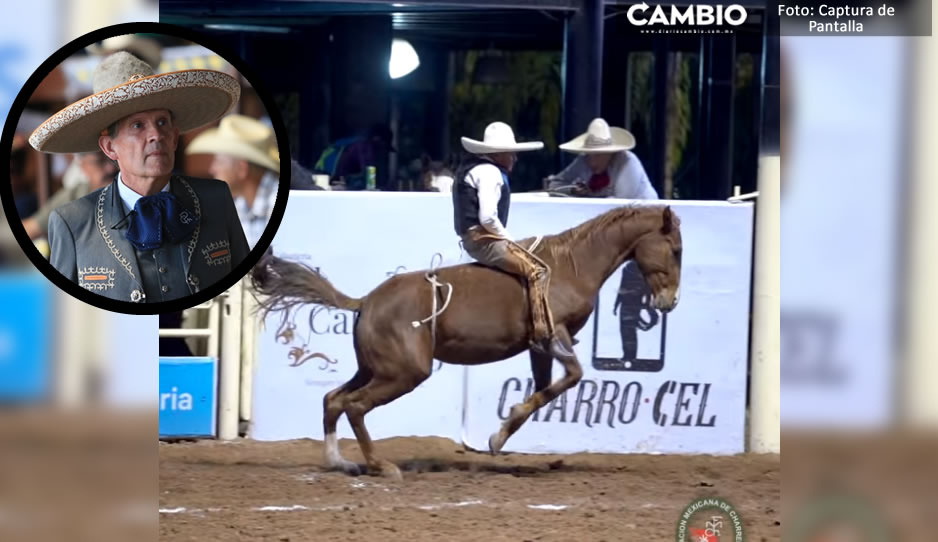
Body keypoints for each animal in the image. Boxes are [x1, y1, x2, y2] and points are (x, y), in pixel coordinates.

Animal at [252, 204, 684, 480]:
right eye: (676, 249)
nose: (670, 302)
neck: (570, 266)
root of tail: (365, 301)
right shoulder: (556, 333)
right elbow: (572, 376)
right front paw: (498, 434)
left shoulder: (539, 345)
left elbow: (546, 388)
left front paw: (501, 432)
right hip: (403, 374)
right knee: (355, 406)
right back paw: (381, 467)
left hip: (375, 368)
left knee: (334, 400)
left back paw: (339, 463)